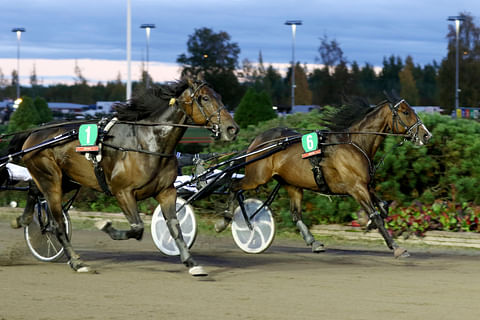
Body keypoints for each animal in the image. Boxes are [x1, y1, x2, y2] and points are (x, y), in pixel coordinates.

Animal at [9, 78, 238, 276]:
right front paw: (106, 226)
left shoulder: (166, 191)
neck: (149, 143)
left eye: (219, 96)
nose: (232, 128)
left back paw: (22, 219)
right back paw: (76, 261)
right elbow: (137, 228)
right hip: (52, 180)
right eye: (204, 98)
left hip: (68, 180)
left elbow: (175, 227)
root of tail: (34, 133)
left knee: (34, 191)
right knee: (57, 223)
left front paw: (191, 262)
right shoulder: (123, 192)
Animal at [218, 97, 432, 258]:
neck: (355, 144)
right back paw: (231, 221)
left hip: (292, 184)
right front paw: (396, 247)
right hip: (257, 176)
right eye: (406, 112)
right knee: (234, 185)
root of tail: (256, 142)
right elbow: (377, 216)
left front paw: (367, 221)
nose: (426, 135)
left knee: (296, 214)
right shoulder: (356, 188)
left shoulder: (365, 185)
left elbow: (383, 207)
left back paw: (313, 242)